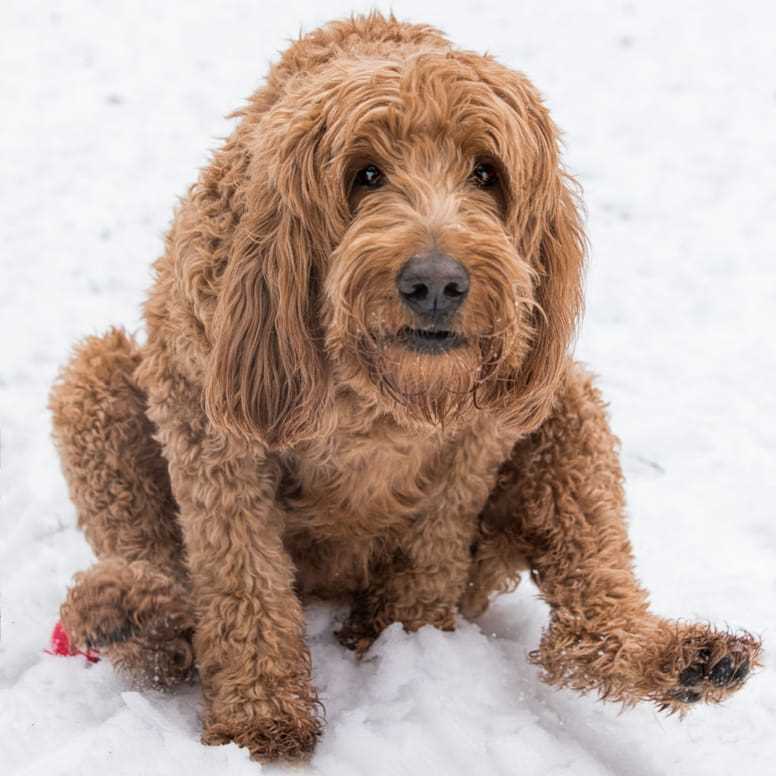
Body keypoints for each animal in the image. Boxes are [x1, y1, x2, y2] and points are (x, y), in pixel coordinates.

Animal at [51, 13, 760, 764]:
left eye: (487, 172)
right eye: (365, 174)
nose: (436, 283)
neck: (381, 393)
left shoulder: (478, 440)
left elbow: (431, 547)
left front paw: (406, 636)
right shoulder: (210, 423)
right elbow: (242, 578)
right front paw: (258, 717)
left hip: (565, 404)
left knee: (587, 608)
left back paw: (683, 658)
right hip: (94, 384)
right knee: (165, 579)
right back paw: (132, 617)